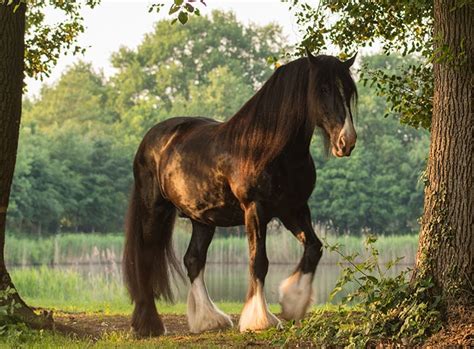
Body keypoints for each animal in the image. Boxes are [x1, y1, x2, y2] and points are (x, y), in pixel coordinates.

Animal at [122, 50, 356, 336]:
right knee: (145, 258)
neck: (267, 146)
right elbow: (259, 261)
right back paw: (149, 325)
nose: (347, 141)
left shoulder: (294, 209)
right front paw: (260, 319)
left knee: (193, 260)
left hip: (203, 218)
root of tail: (151, 138)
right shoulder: (256, 209)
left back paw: (208, 319)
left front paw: (292, 303)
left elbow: (314, 247)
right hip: (154, 209)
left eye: (349, 91)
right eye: (323, 89)